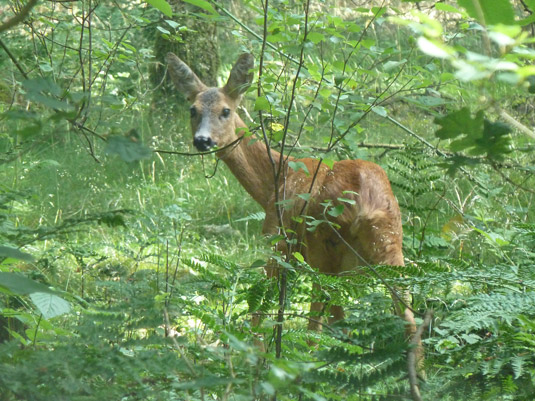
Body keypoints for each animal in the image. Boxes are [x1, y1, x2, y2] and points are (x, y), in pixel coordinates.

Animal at [168, 50, 422, 360]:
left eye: (225, 111)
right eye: (192, 110)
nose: (202, 140)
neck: (274, 181)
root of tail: (365, 200)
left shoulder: (277, 240)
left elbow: (261, 308)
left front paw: (255, 354)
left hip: (323, 245)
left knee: (316, 327)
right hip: (389, 241)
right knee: (405, 317)